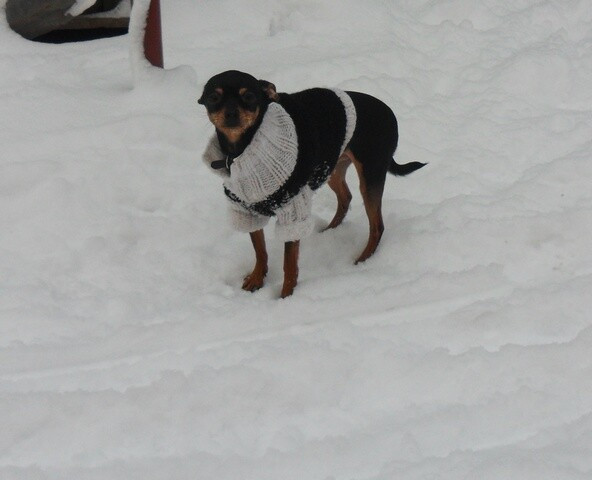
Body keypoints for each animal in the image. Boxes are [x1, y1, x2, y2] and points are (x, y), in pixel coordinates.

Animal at [199, 71, 426, 296]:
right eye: (213, 97)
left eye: (249, 96)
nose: (231, 113)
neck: (240, 151)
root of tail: (388, 111)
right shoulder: (247, 211)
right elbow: (260, 250)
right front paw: (256, 278)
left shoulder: (292, 213)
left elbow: (289, 264)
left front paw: (286, 296)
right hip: (332, 166)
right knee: (346, 197)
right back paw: (329, 231)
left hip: (370, 176)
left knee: (377, 226)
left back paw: (363, 260)